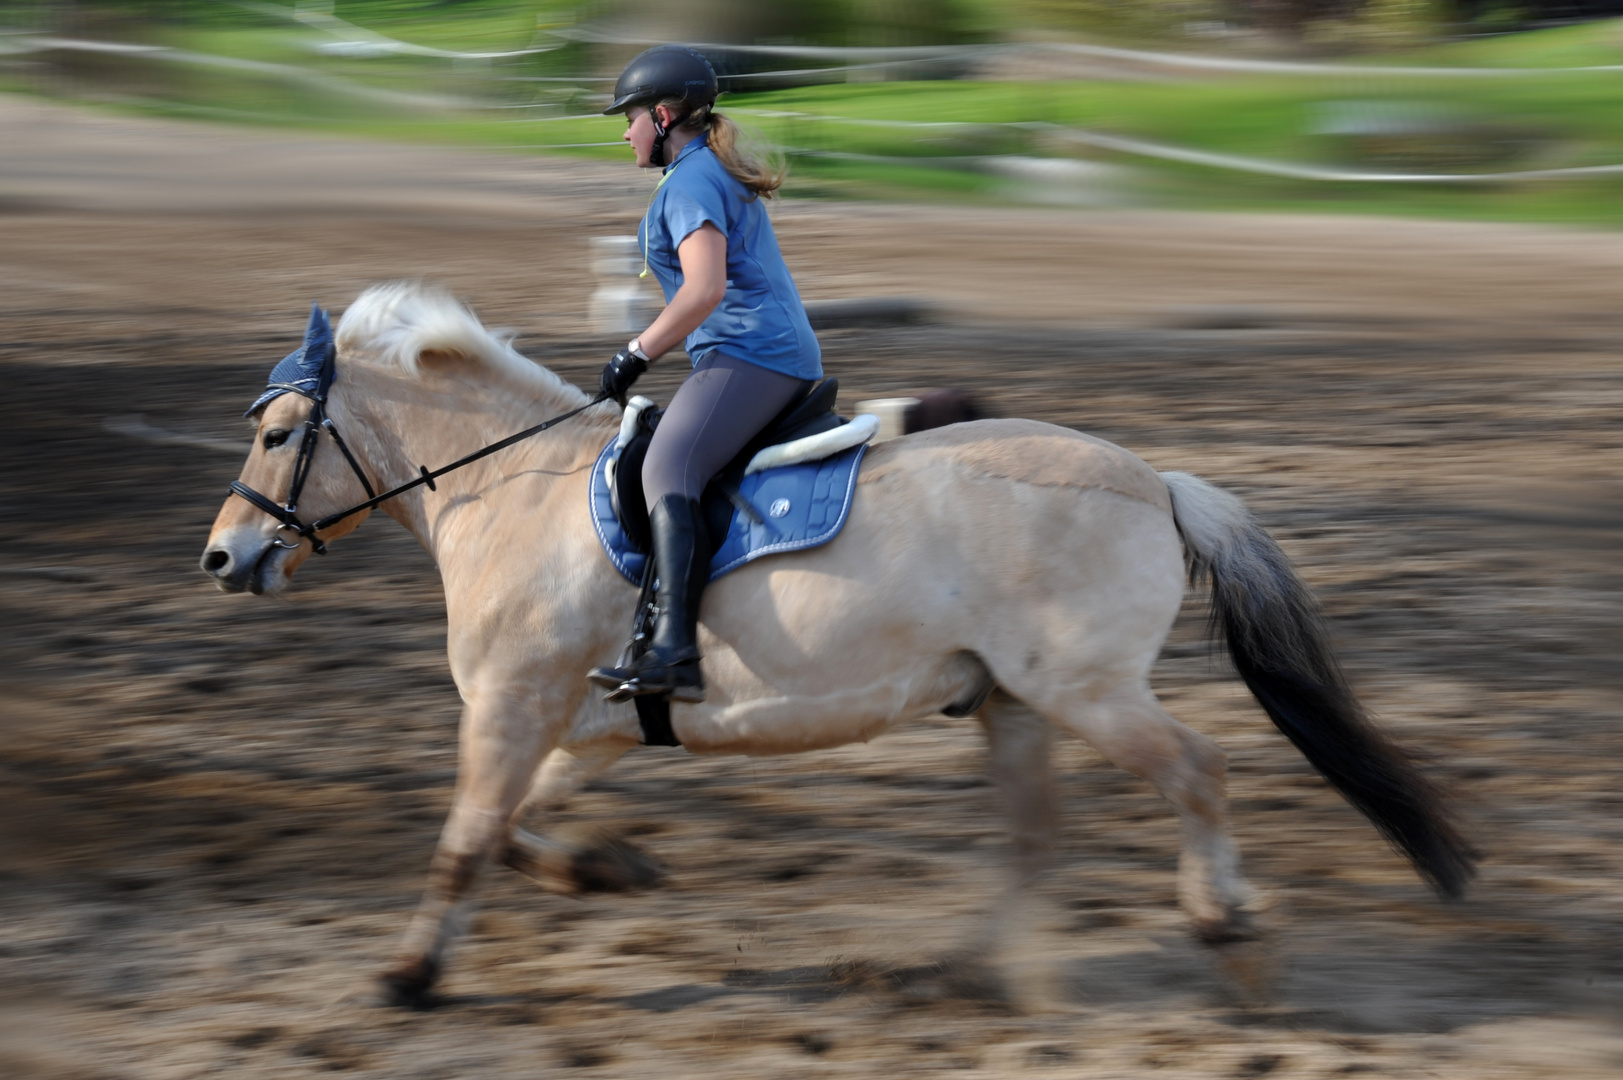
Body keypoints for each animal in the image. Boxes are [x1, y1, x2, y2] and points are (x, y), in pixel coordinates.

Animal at [199, 284, 1473, 1000]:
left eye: (279, 434)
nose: (222, 557)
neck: (520, 490)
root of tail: (1157, 482)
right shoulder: (581, 721)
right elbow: (513, 832)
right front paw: (607, 869)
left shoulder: (510, 708)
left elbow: (466, 843)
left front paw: (410, 976)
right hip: (1014, 703)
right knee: (1035, 837)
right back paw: (966, 975)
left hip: (1089, 691)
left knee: (1198, 774)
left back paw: (1227, 929)